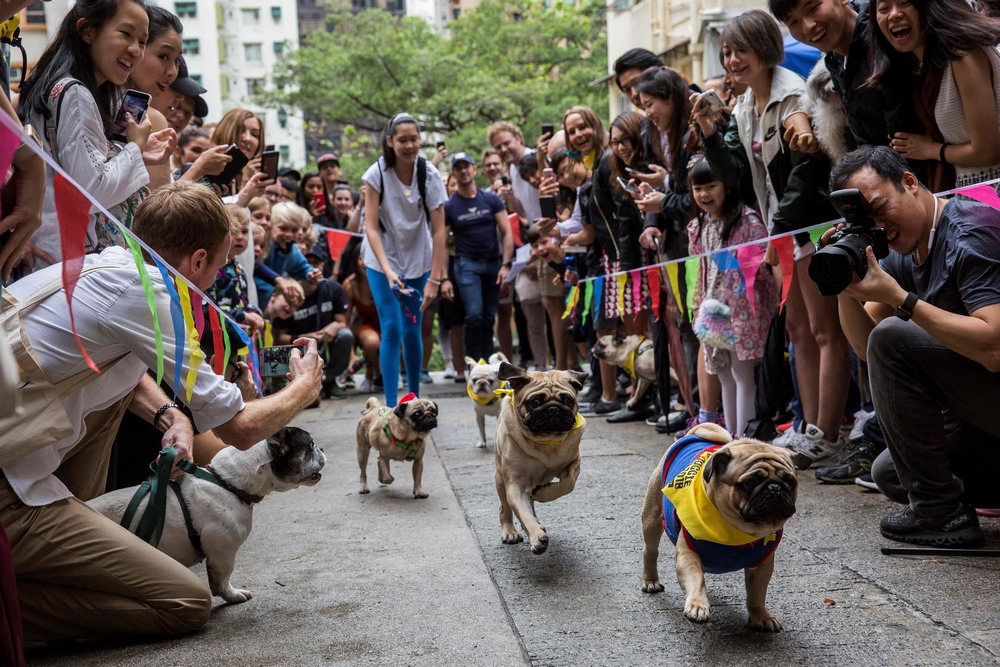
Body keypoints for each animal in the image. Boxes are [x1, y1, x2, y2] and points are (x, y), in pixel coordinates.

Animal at [496, 362, 588, 556]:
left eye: (567, 400)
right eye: (535, 402)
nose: (553, 409)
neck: (546, 441)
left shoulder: (574, 463)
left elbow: (567, 484)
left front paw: (544, 493)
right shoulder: (515, 485)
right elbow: (523, 514)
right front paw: (537, 537)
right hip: (500, 481)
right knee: (506, 508)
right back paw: (510, 532)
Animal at [640, 422, 796, 632]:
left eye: (790, 481)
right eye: (750, 482)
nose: (774, 488)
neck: (738, 529)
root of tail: (693, 434)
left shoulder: (762, 565)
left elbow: (756, 594)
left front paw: (761, 616)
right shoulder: (688, 555)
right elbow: (696, 580)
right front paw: (697, 605)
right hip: (652, 517)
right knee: (650, 550)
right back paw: (651, 581)